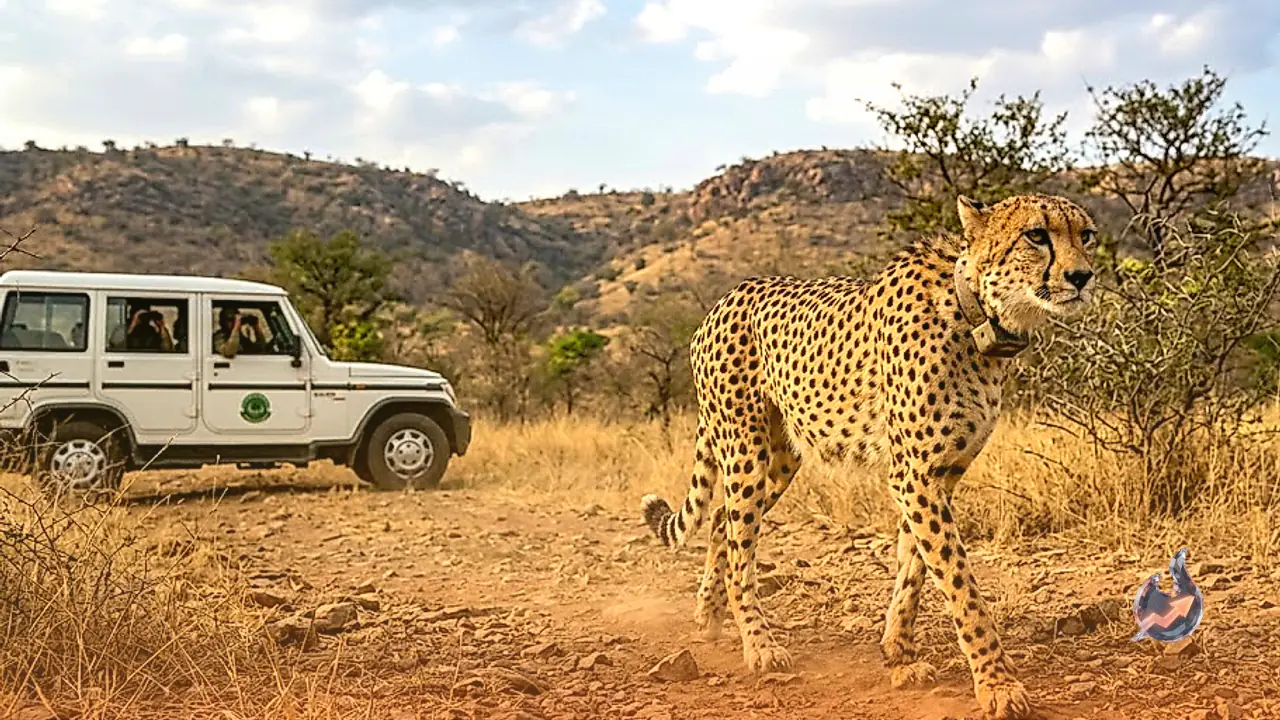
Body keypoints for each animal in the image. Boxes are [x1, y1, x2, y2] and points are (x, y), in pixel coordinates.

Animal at [640, 193, 1097, 719]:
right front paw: (997, 683)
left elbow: (914, 567)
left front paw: (899, 654)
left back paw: (709, 615)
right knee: (739, 547)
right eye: (1036, 235)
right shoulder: (916, 476)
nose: (1082, 276)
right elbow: (960, 584)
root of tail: (728, 296)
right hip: (745, 449)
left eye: (1086, 235)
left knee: (721, 521)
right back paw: (759, 644)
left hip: (780, 458)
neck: (976, 313)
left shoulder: (939, 474)